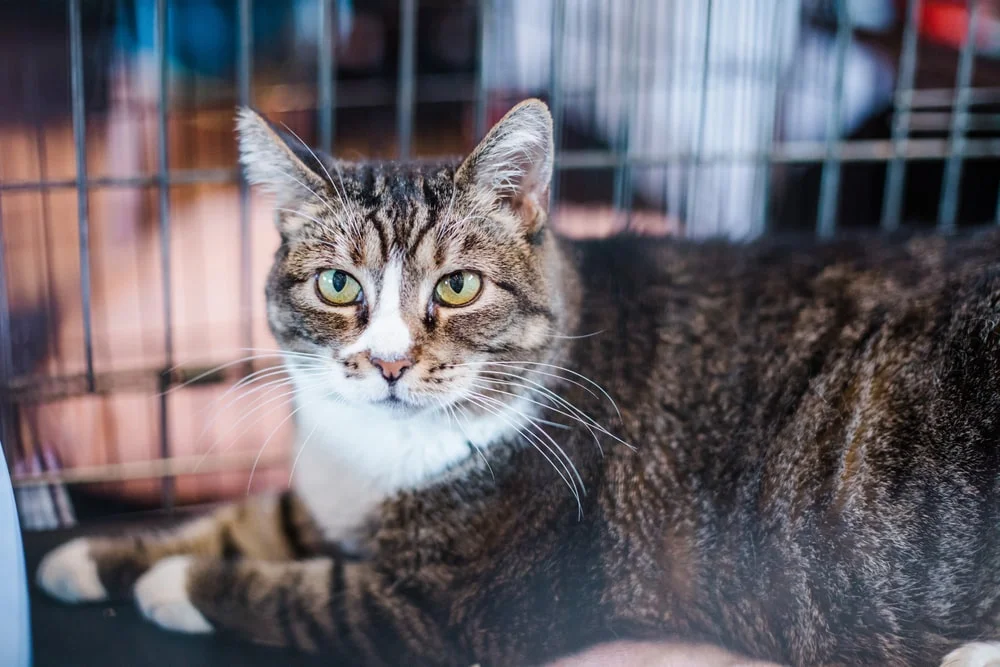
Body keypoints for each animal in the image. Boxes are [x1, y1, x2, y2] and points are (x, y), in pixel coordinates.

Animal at [39, 99, 1000, 667]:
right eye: (339, 285)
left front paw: (173, 585)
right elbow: (247, 521)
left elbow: (302, 592)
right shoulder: (323, 496)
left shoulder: (454, 608)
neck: (379, 450)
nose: (388, 362)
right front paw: (93, 557)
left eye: (459, 285)